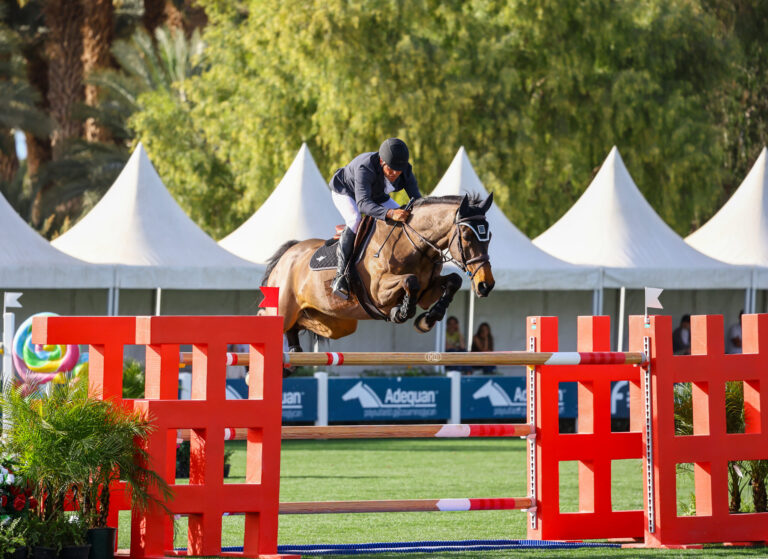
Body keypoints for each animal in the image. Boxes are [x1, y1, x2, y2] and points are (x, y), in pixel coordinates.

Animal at [260, 192, 496, 350]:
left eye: (489, 236)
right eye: (467, 236)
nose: (486, 285)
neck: (412, 245)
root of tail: (287, 254)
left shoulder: (427, 293)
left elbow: (453, 281)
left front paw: (427, 320)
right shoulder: (378, 292)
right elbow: (410, 281)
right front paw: (401, 312)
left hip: (336, 323)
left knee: (301, 323)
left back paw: (294, 349)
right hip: (284, 306)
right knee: (269, 318)